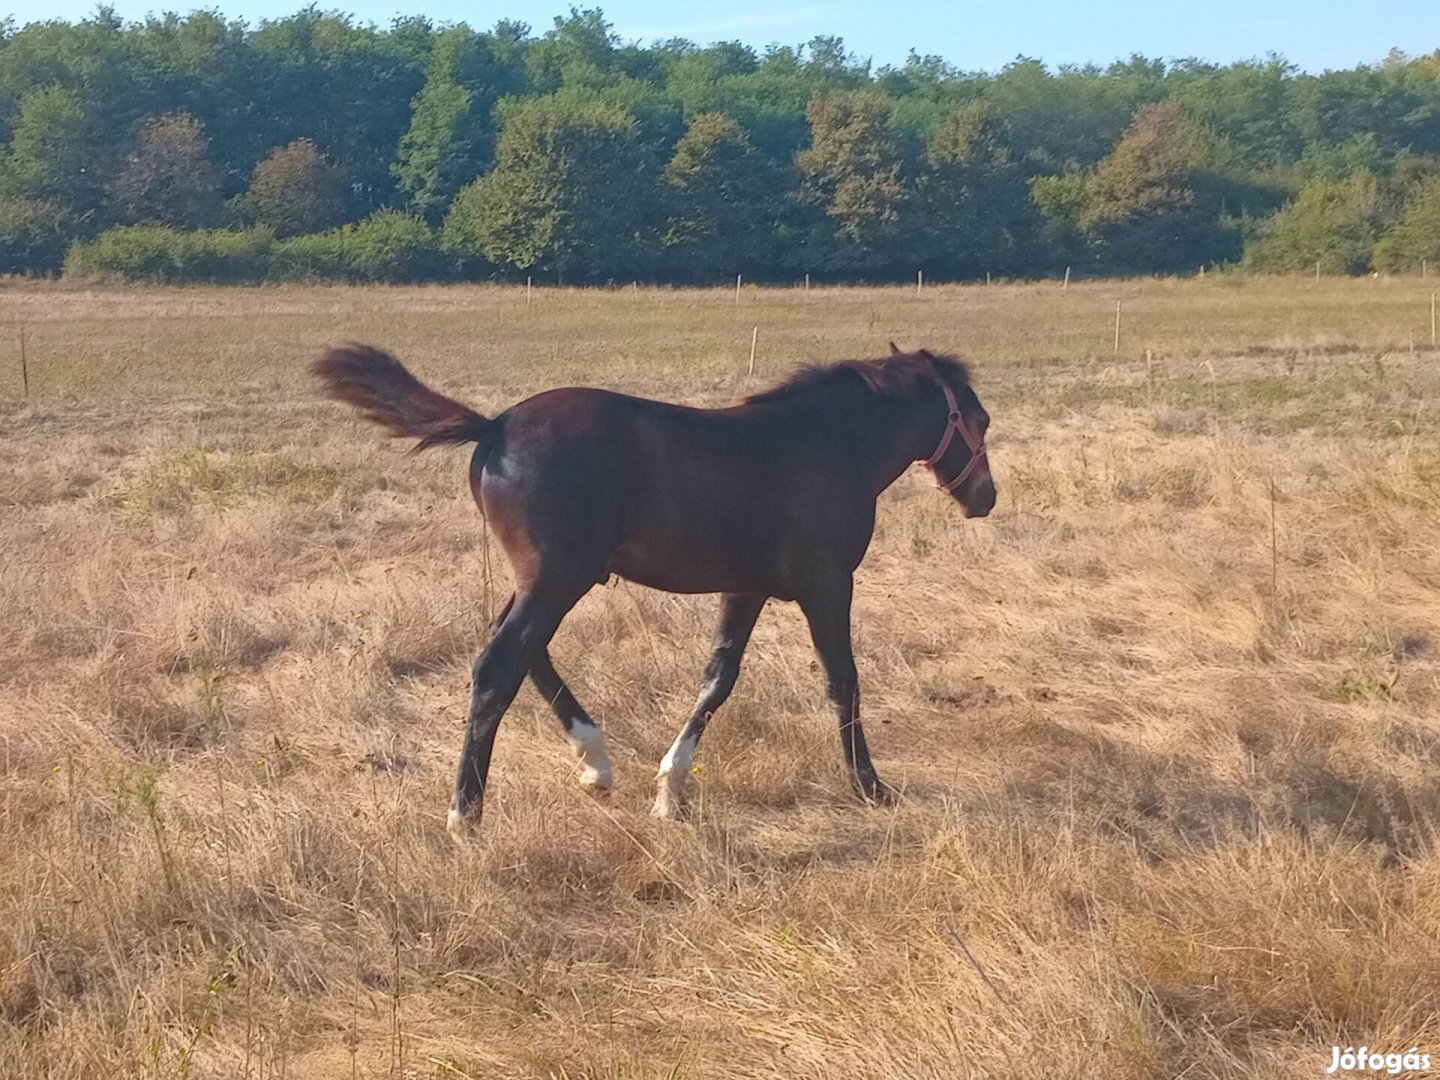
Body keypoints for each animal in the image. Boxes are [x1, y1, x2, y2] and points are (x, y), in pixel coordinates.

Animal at [312, 342, 990, 840]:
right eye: (979, 421)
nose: (986, 497)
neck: (827, 443)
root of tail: (495, 427)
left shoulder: (745, 590)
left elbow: (717, 680)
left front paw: (670, 791)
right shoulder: (827, 583)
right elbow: (843, 680)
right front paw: (870, 785)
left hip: (548, 578)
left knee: (522, 651)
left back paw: (595, 762)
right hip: (558, 578)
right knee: (498, 665)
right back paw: (466, 815)